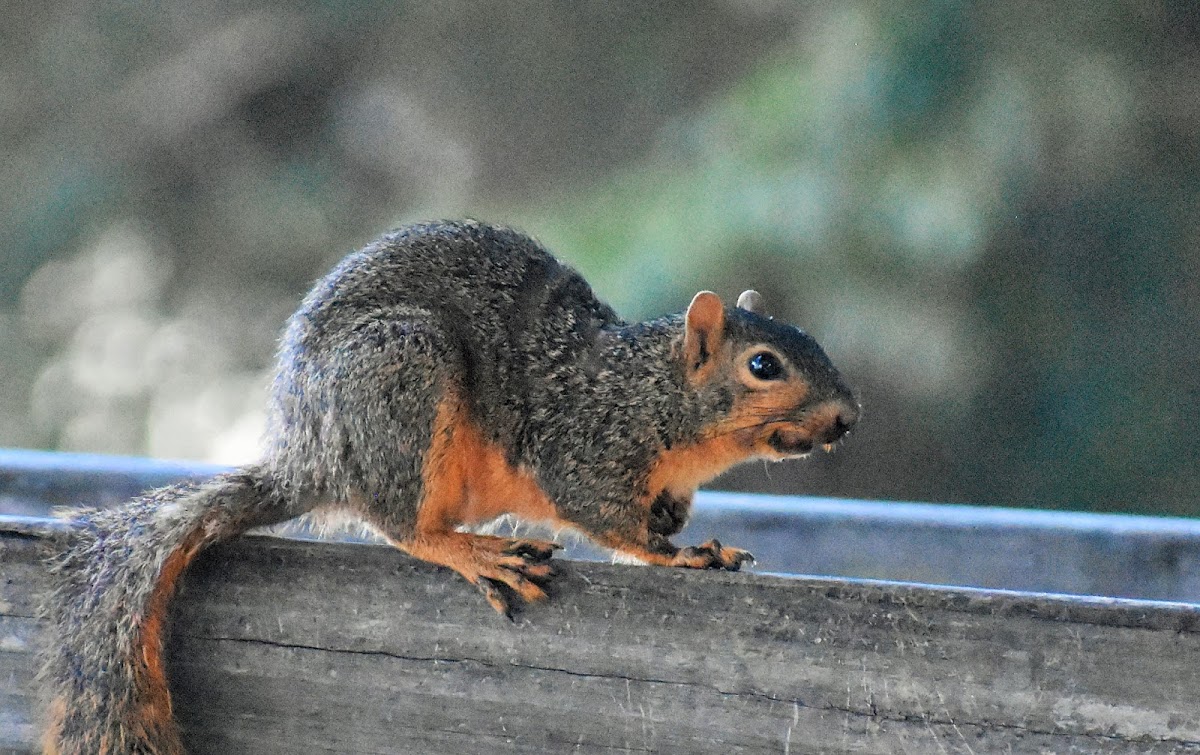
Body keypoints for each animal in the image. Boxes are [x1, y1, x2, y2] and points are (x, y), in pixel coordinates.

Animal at [39, 219, 864, 753]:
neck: (652, 393)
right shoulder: (584, 448)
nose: (848, 417)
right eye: (763, 365)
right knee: (402, 524)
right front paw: (682, 555)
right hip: (401, 376)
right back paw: (470, 550)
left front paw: (699, 539)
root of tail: (309, 457)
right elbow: (611, 521)